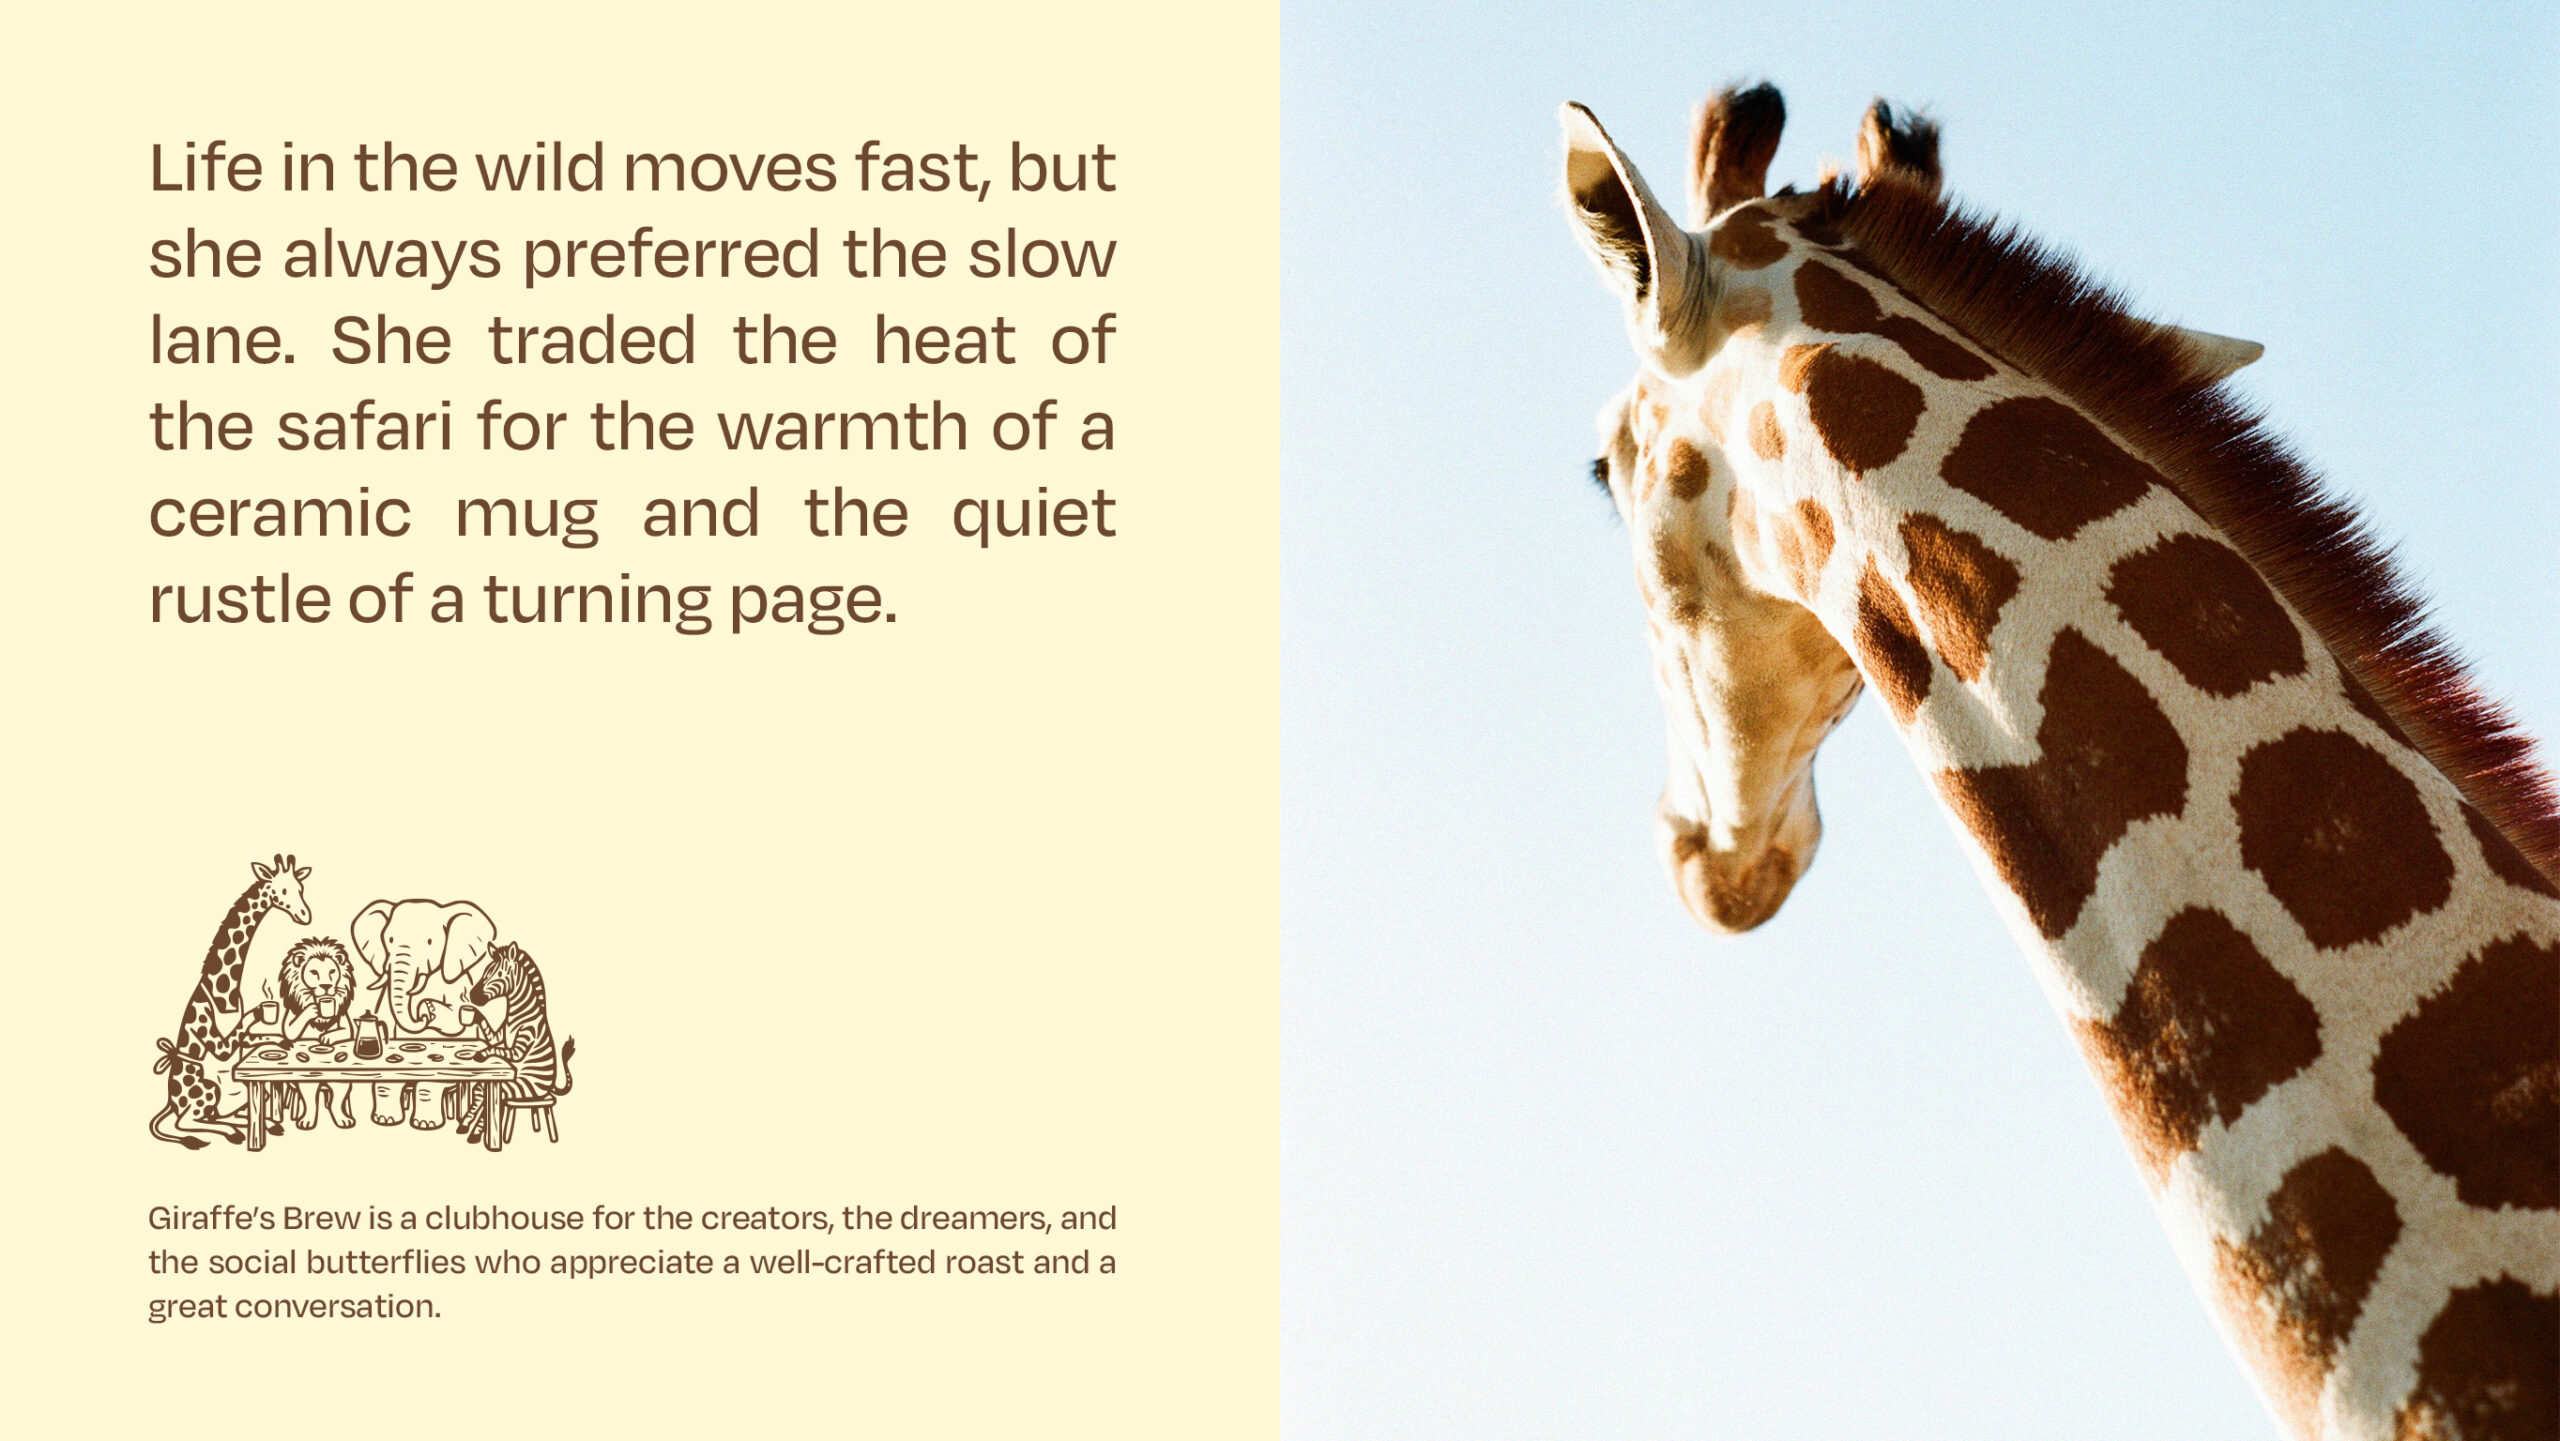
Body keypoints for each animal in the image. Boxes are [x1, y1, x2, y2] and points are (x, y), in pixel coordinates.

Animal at [149, 854, 313, 1149]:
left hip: (229, 1096)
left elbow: (256, 1038)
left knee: (220, 1115)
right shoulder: (215, 1039)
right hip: (209, 1090)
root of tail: (171, 1101)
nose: (305, 915)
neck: (224, 991)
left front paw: (281, 1041)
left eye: (301, 889)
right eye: (283, 891)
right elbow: (235, 1036)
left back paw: (263, 1124)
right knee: (187, 1121)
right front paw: (262, 1013)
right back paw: (220, 1135)